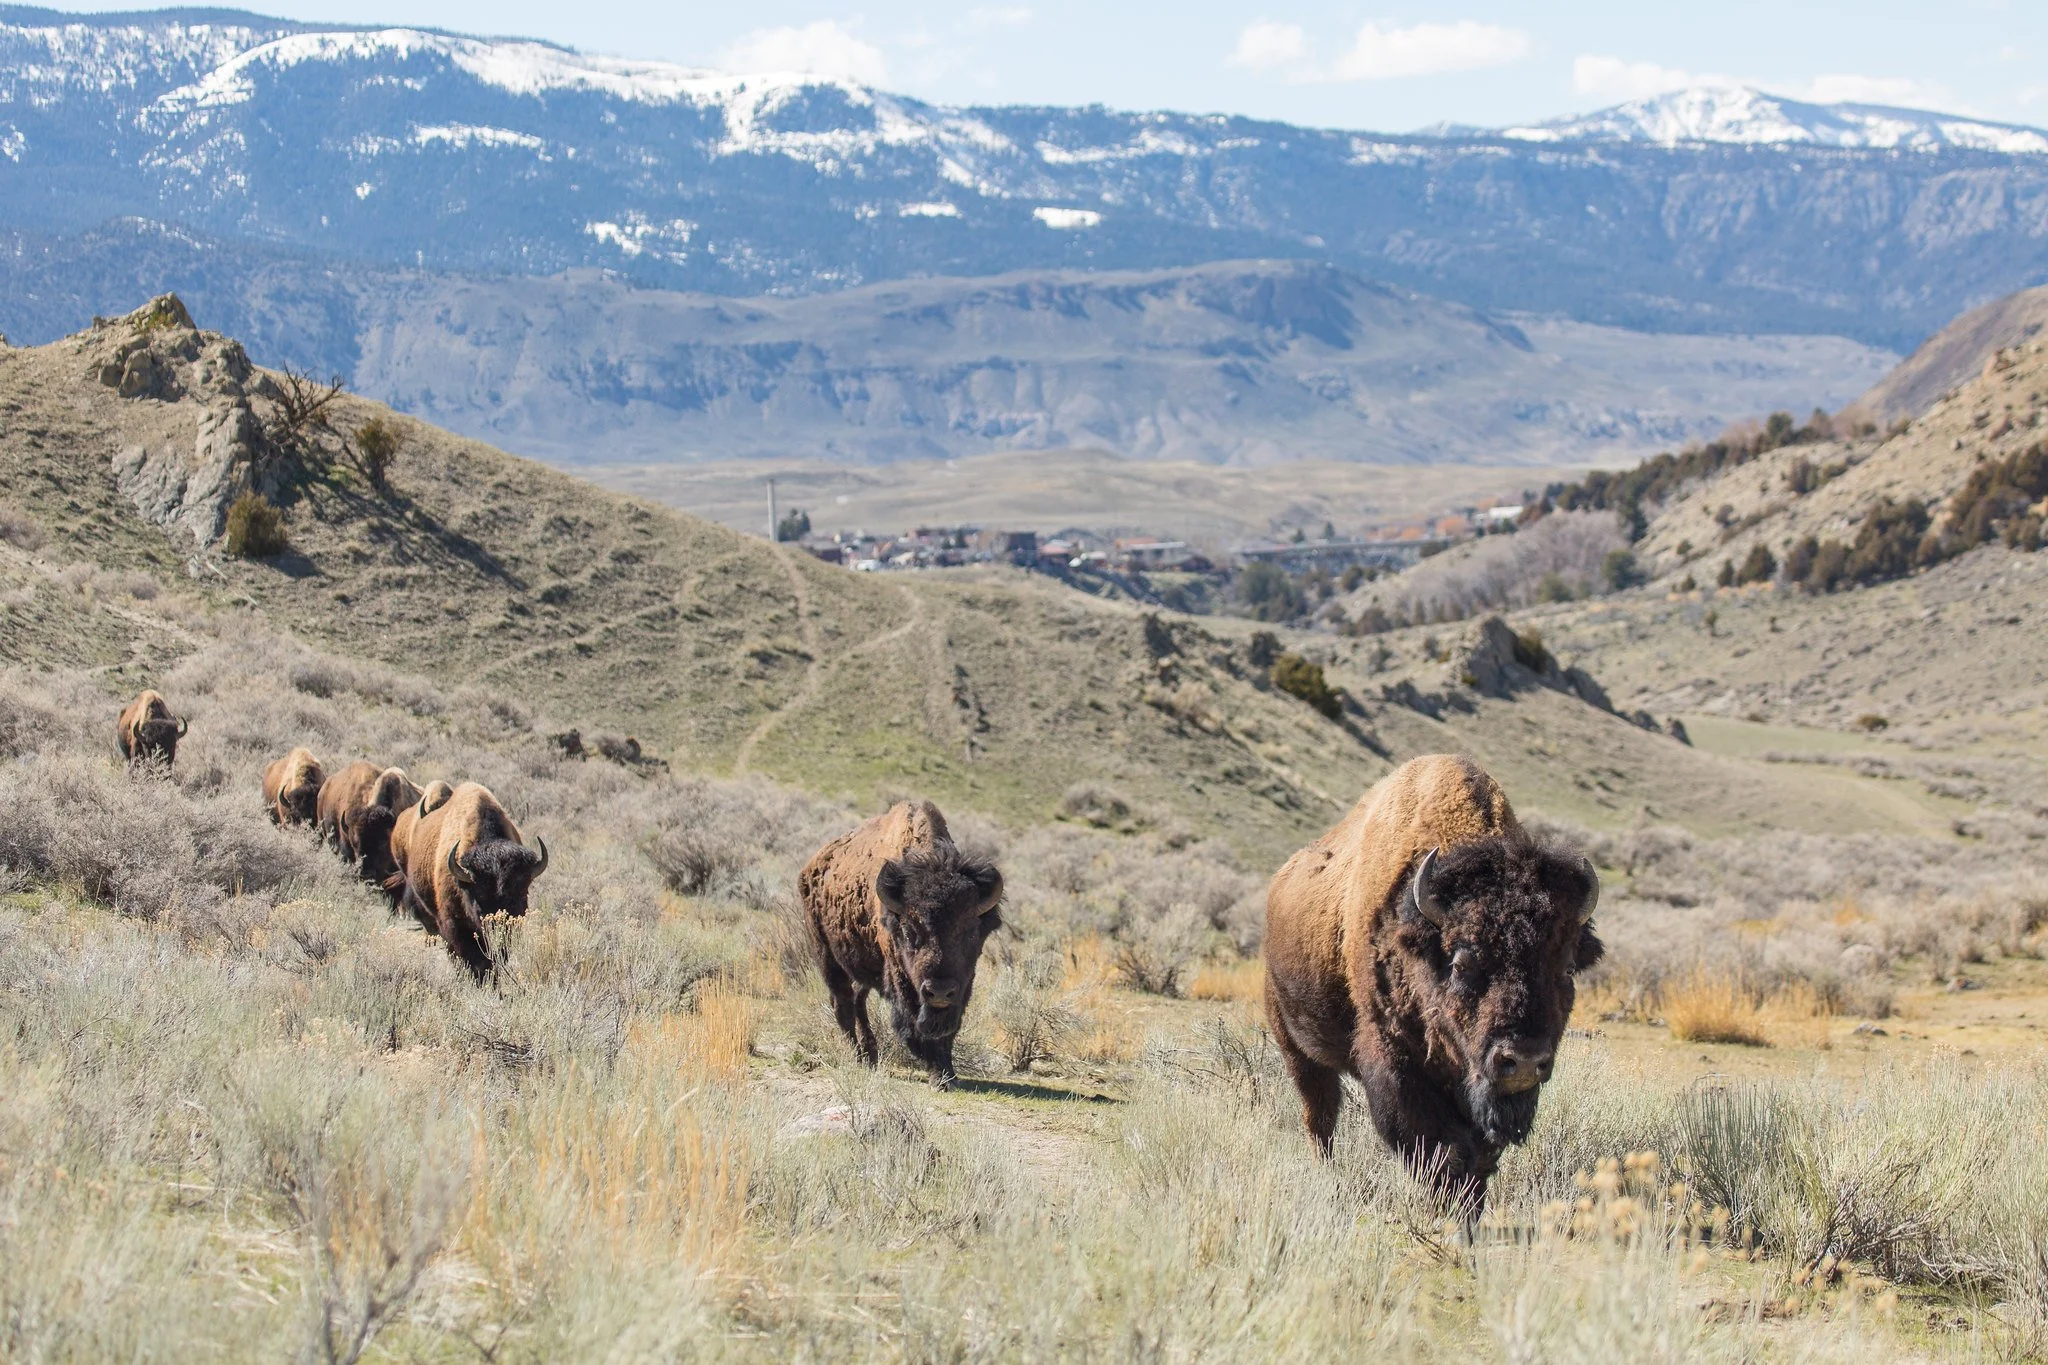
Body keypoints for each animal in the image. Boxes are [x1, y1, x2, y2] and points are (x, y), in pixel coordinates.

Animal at [797, 799, 1002, 1089]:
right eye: (909, 930)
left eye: (970, 931)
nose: (939, 992)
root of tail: (810, 869)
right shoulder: (901, 977)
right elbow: (913, 1023)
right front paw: (938, 1075)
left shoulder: (963, 983)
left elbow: (948, 1028)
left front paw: (948, 1075)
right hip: (827, 957)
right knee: (843, 1005)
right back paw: (857, 1057)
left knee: (858, 1001)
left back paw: (870, 1056)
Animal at [1263, 754, 1602, 1204]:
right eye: (1461, 963)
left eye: (1566, 969)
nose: (1524, 1060)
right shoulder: (1394, 1059)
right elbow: (1438, 1146)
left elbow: (1477, 1152)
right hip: (1295, 1046)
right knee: (1319, 1114)